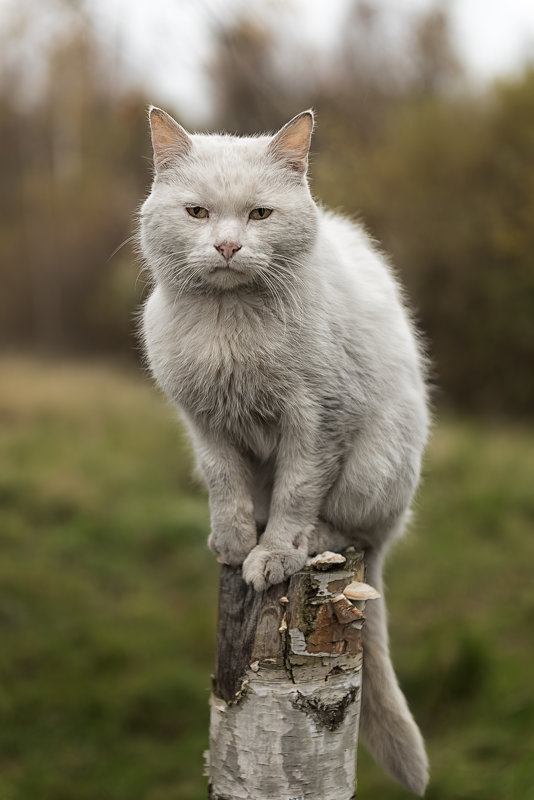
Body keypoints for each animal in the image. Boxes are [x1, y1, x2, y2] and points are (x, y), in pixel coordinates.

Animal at [138, 108, 432, 800]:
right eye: (196, 212)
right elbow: (225, 484)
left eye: (260, 214)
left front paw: (273, 554)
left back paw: (311, 543)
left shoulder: (319, 419)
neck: (228, 323)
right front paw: (235, 540)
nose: (226, 246)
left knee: (352, 527)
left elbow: (298, 490)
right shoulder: (206, 427)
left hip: (375, 472)